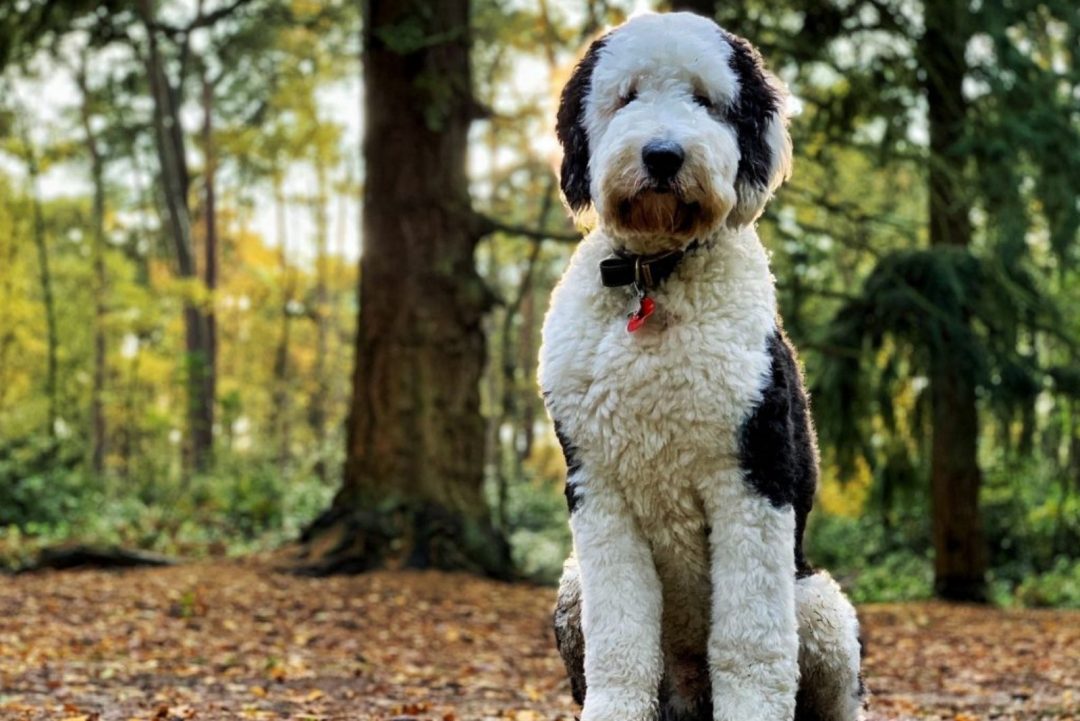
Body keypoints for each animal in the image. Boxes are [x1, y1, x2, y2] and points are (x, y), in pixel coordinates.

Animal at [535, 11, 864, 721]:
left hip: (819, 605)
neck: (655, 274)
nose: (663, 155)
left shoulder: (752, 477)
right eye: (627, 96)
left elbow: (751, 644)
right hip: (573, 586)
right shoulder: (598, 489)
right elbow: (620, 644)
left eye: (708, 101)